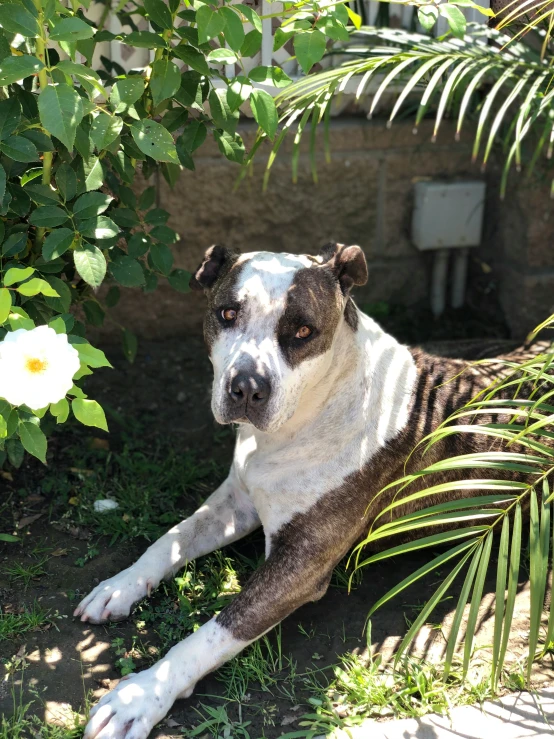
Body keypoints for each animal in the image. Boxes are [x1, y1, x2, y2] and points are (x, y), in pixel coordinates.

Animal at [76, 244, 544, 739]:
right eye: (227, 313)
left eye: (303, 331)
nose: (246, 387)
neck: (306, 415)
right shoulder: (236, 501)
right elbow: (171, 539)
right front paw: (120, 585)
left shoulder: (300, 562)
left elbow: (218, 629)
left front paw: (142, 694)